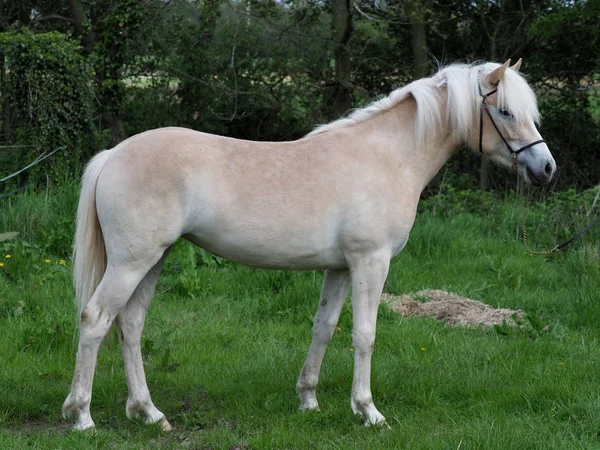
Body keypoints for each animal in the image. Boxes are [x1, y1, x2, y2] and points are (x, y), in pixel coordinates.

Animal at [62, 59, 556, 428]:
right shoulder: (370, 263)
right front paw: (369, 411)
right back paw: (82, 415)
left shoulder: (339, 268)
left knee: (130, 325)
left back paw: (149, 413)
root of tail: (114, 154)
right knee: (96, 319)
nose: (546, 168)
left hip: (153, 260)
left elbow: (325, 327)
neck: (388, 157)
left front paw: (309, 400)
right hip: (132, 262)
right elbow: (364, 334)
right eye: (505, 111)